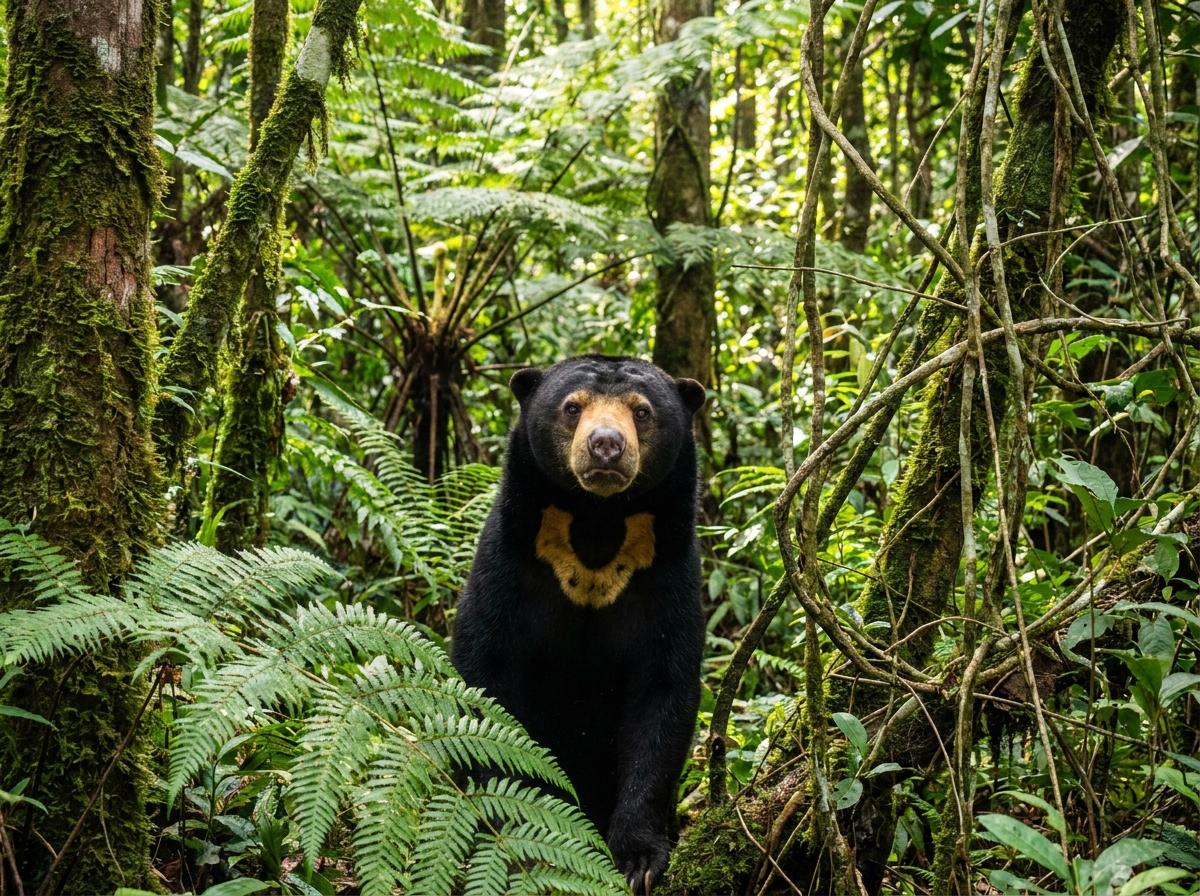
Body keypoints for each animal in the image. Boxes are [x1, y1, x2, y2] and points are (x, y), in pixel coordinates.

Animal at [452, 355, 706, 894]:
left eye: (642, 411)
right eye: (572, 407)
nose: (606, 445)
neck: (597, 522)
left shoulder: (666, 571)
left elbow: (662, 693)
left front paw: (637, 859)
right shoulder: (511, 557)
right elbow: (487, 669)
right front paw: (509, 816)